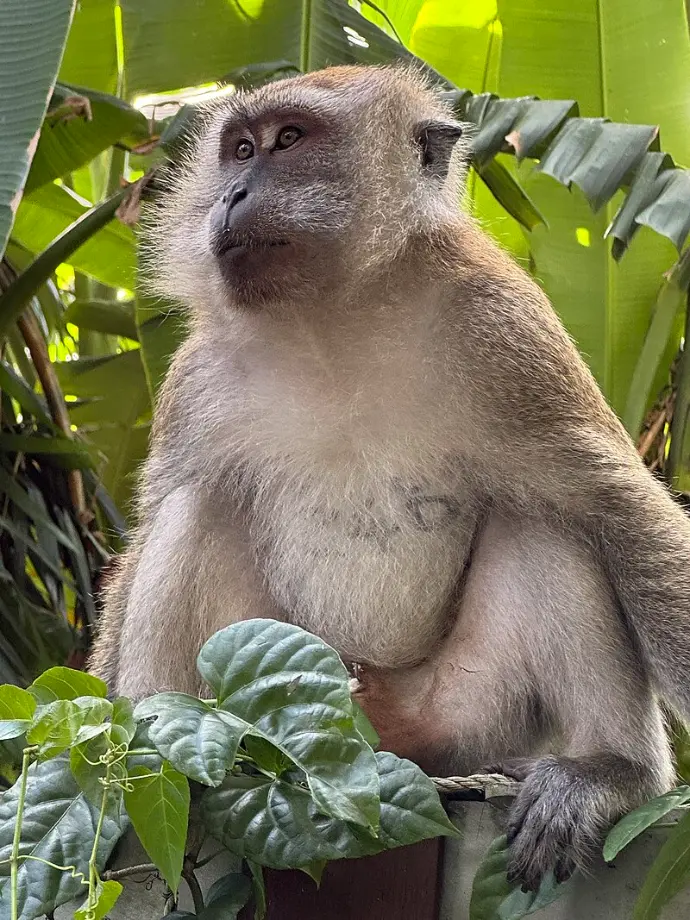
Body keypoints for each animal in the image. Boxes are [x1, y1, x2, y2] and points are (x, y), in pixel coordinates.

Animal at [90, 63, 690, 890]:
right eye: (239, 149)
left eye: (288, 140)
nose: (231, 192)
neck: (332, 319)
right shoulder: (197, 376)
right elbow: (154, 523)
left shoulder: (507, 332)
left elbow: (615, 505)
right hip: (275, 692)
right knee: (196, 506)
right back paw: (156, 761)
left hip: (466, 715)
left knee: (549, 520)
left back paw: (609, 771)